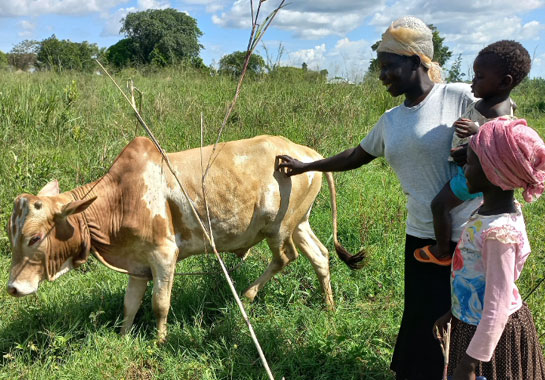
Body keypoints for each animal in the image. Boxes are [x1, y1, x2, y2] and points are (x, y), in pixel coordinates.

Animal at [6, 134, 364, 342]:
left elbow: (159, 304)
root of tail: (305, 152)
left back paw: (248, 295)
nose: (13, 288)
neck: (119, 198)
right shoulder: (138, 263)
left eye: (35, 237)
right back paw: (329, 307)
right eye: (11, 234)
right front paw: (122, 338)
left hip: (278, 229)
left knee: (285, 257)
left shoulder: (164, 255)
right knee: (319, 257)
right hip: (299, 223)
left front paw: (159, 342)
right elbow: (130, 305)